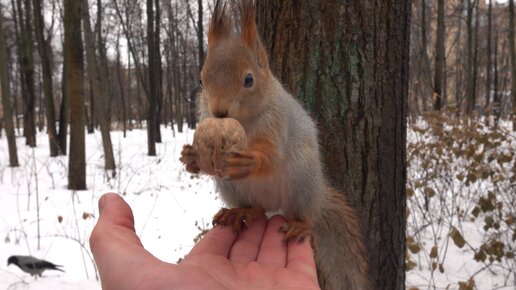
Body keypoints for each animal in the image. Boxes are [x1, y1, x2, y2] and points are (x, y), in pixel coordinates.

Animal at [179, 1, 368, 288]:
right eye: (201, 80)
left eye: (249, 80)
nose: (219, 112)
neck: (244, 122)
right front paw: (190, 156)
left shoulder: (277, 121)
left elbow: (272, 154)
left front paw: (249, 160)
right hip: (231, 186)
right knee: (256, 207)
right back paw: (240, 212)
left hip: (301, 179)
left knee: (304, 215)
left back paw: (300, 224)